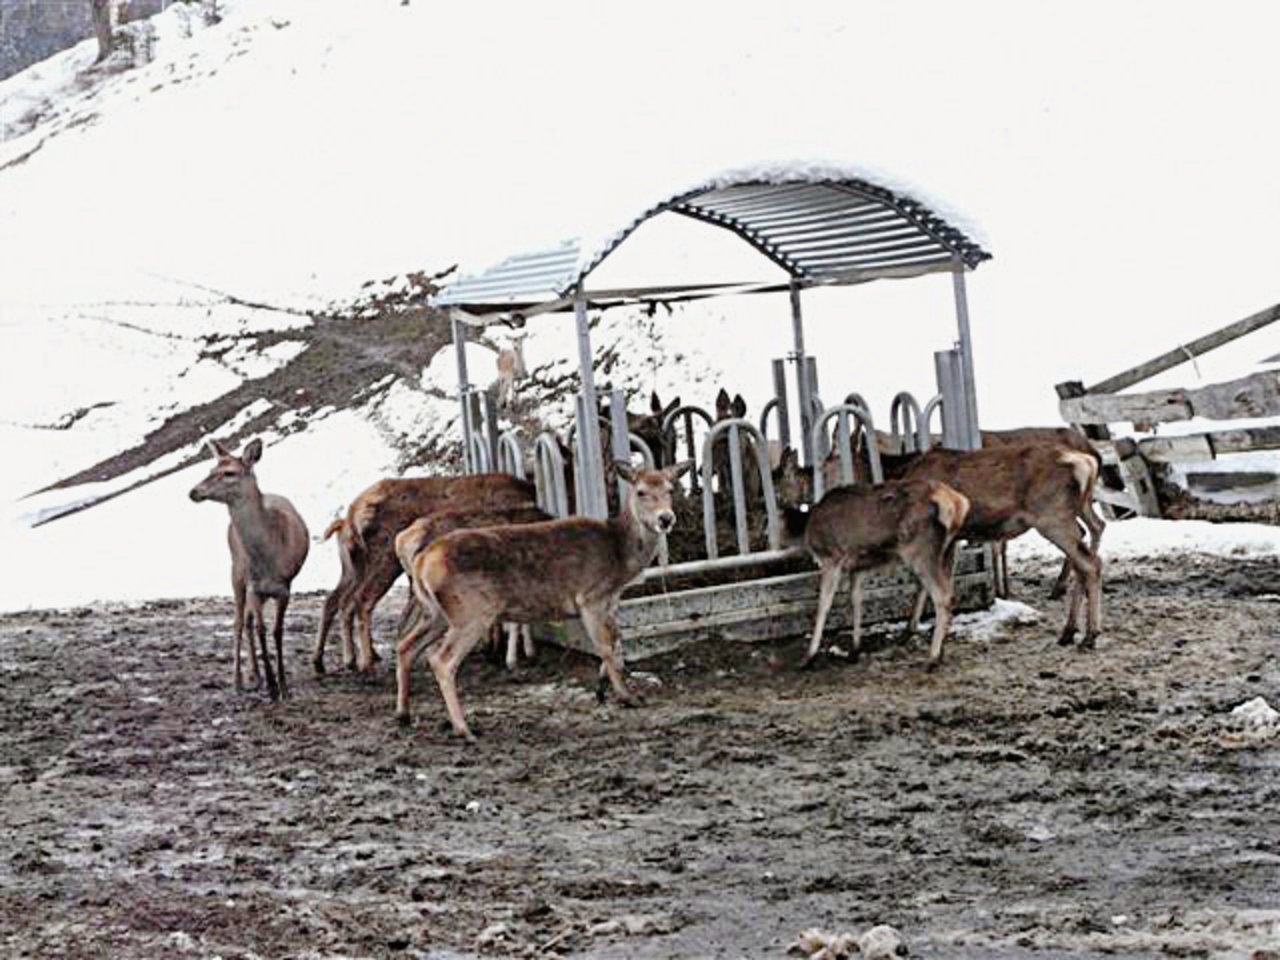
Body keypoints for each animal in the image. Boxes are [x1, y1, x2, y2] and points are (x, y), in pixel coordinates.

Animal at [186, 440, 309, 701]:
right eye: (211, 468)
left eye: (229, 473)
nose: (194, 492)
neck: (269, 558)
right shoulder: (253, 585)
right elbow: (261, 629)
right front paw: (273, 687)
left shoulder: (285, 587)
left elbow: (277, 631)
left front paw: (283, 686)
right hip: (236, 572)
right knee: (240, 622)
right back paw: (240, 680)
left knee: (248, 621)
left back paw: (256, 675)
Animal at [320, 476, 545, 675]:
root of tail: (351, 515)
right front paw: (515, 654)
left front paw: (495, 648)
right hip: (383, 560)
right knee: (362, 601)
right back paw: (366, 663)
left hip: (355, 567)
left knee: (338, 601)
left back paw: (331, 661)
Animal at [394, 463, 696, 742]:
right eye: (641, 491)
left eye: (670, 489)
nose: (666, 518)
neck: (620, 562)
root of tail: (422, 561)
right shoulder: (590, 596)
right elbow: (604, 646)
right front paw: (626, 697)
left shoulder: (609, 601)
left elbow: (616, 638)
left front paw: (601, 689)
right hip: (471, 613)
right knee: (441, 660)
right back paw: (464, 729)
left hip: (436, 612)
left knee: (406, 646)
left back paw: (404, 714)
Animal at [778, 473, 967, 670]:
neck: (803, 529)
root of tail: (957, 503)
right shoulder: (858, 567)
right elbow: (856, 599)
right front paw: (854, 650)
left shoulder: (831, 558)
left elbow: (824, 604)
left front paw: (808, 657)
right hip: (948, 550)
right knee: (942, 588)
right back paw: (937, 648)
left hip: (919, 550)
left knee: (942, 596)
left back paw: (933, 658)